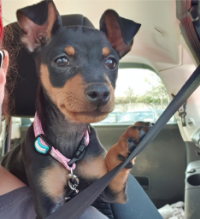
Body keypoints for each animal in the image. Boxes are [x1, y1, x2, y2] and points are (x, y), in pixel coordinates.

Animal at [1, 0, 152, 218]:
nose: (100, 92)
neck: (70, 137)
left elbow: (115, 171)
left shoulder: (110, 191)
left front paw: (125, 145)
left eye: (112, 62)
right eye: (62, 60)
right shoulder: (49, 206)